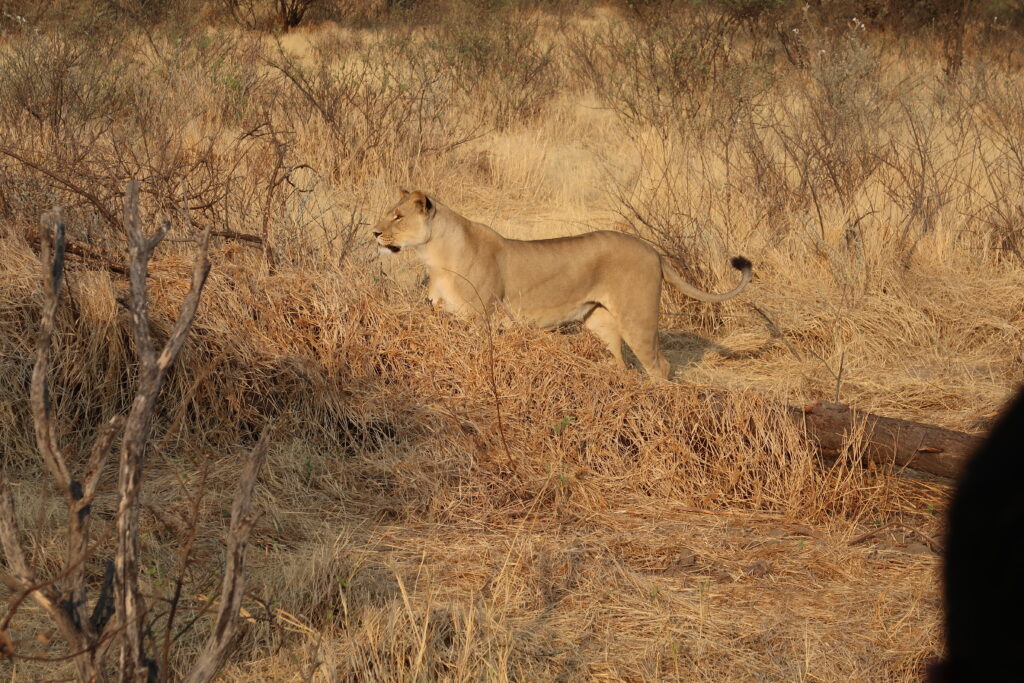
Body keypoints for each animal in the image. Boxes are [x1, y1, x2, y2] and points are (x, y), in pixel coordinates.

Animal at [373, 189, 752, 380]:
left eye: (397, 216)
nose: (374, 233)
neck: (433, 255)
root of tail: (653, 250)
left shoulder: (479, 320)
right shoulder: (444, 316)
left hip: (638, 318)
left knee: (660, 366)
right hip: (599, 320)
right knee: (623, 363)